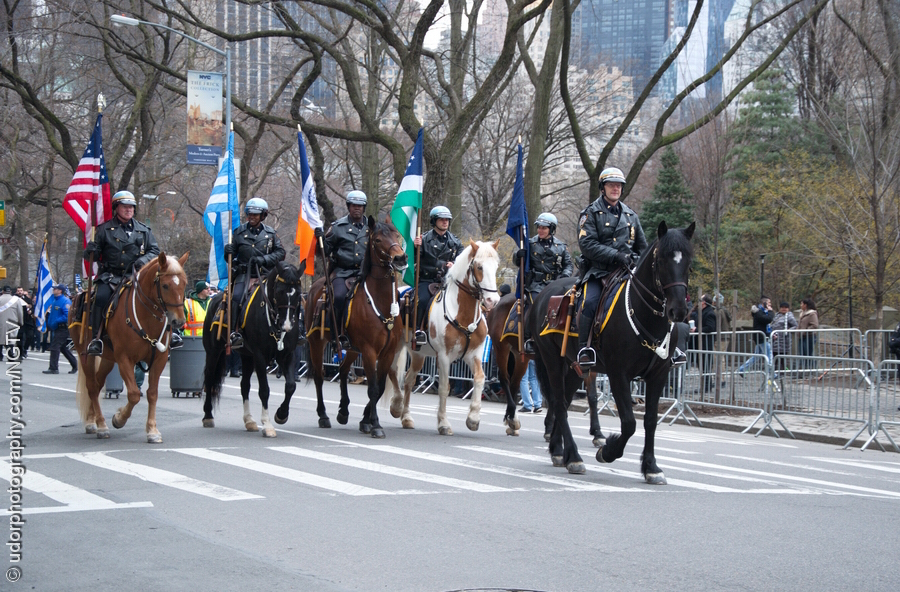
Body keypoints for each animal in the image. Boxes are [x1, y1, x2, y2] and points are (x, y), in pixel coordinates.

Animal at [71, 252, 190, 442]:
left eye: (184, 284)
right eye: (165, 285)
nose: (178, 322)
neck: (146, 318)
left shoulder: (159, 359)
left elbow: (152, 393)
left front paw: (152, 430)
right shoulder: (125, 359)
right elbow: (134, 394)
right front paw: (119, 419)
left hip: (107, 359)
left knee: (97, 384)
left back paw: (93, 421)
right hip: (86, 355)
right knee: (91, 387)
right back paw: (101, 425)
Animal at [201, 262, 306, 438]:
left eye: (298, 293)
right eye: (279, 291)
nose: (286, 325)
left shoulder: (287, 355)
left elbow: (291, 386)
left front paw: (281, 415)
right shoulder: (260, 356)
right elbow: (264, 390)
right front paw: (268, 425)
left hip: (247, 357)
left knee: (244, 385)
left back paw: (249, 421)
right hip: (213, 352)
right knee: (209, 379)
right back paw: (208, 416)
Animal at [306, 215, 412, 438]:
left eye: (396, 235)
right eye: (378, 240)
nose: (400, 258)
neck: (380, 301)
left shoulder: (387, 352)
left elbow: (379, 387)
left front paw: (366, 421)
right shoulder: (370, 351)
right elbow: (372, 388)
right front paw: (376, 425)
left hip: (353, 349)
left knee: (343, 370)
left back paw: (343, 411)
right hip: (316, 343)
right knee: (319, 376)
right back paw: (324, 416)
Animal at [390, 239, 502, 434]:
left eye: (496, 266)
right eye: (479, 267)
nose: (492, 301)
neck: (462, 313)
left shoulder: (474, 354)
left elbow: (479, 379)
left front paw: (473, 418)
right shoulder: (443, 356)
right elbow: (444, 387)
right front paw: (443, 423)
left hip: (418, 354)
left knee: (409, 380)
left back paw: (407, 418)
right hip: (395, 346)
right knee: (393, 372)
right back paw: (396, 407)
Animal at [536, 221, 696, 480]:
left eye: (688, 261)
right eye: (662, 260)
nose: (679, 311)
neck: (643, 313)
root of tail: (544, 295)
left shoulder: (658, 375)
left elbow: (650, 421)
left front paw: (651, 467)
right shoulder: (618, 373)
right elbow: (629, 422)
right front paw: (608, 451)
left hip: (574, 367)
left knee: (565, 402)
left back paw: (559, 451)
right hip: (552, 362)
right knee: (559, 404)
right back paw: (574, 457)